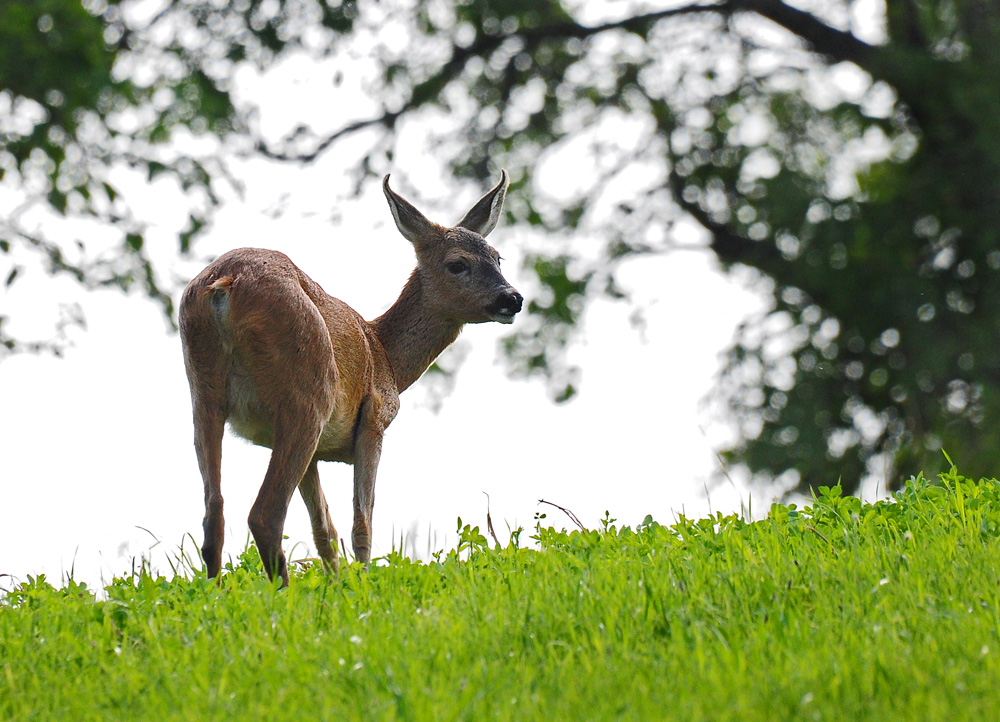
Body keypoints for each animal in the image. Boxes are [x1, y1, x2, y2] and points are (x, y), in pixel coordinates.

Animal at [179, 171, 522, 586]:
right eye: (457, 264)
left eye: (498, 257)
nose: (512, 298)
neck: (385, 354)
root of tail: (225, 284)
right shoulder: (374, 420)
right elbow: (362, 522)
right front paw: (362, 584)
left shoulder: (310, 452)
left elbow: (324, 527)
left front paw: (338, 585)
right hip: (307, 394)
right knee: (264, 514)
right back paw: (282, 594)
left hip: (204, 392)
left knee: (214, 510)